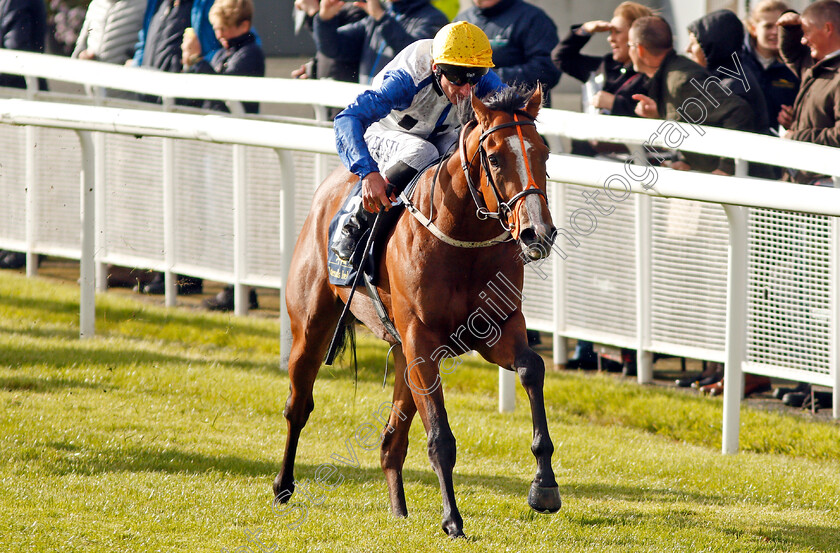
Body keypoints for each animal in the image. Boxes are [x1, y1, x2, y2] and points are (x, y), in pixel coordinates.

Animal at [276, 85, 560, 536]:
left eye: (543, 153)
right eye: (495, 157)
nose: (538, 232)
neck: (461, 240)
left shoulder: (496, 329)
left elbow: (532, 367)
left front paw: (544, 486)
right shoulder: (422, 343)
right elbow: (440, 437)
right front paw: (453, 520)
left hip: (401, 355)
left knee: (391, 439)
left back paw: (398, 509)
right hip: (311, 328)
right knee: (298, 406)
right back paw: (283, 487)